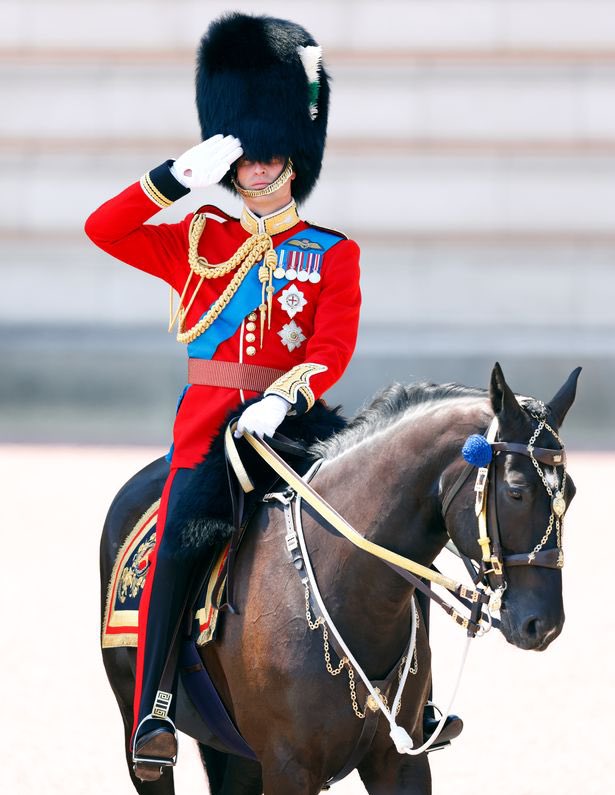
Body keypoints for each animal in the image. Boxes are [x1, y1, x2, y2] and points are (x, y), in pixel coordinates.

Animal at [98, 364, 580, 792]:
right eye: (516, 491)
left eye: (570, 493)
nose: (544, 624)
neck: (350, 588)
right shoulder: (289, 768)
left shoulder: (400, 765)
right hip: (136, 724)